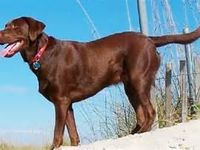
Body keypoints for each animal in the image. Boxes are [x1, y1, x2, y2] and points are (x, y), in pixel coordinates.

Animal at [0, 16, 199, 149]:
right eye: (5, 25)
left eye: (15, 27)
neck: (41, 54)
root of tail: (149, 39)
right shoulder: (67, 104)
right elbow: (73, 135)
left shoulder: (61, 101)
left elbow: (57, 135)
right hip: (130, 87)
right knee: (142, 115)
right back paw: (132, 134)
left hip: (139, 80)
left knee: (150, 112)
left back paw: (139, 134)